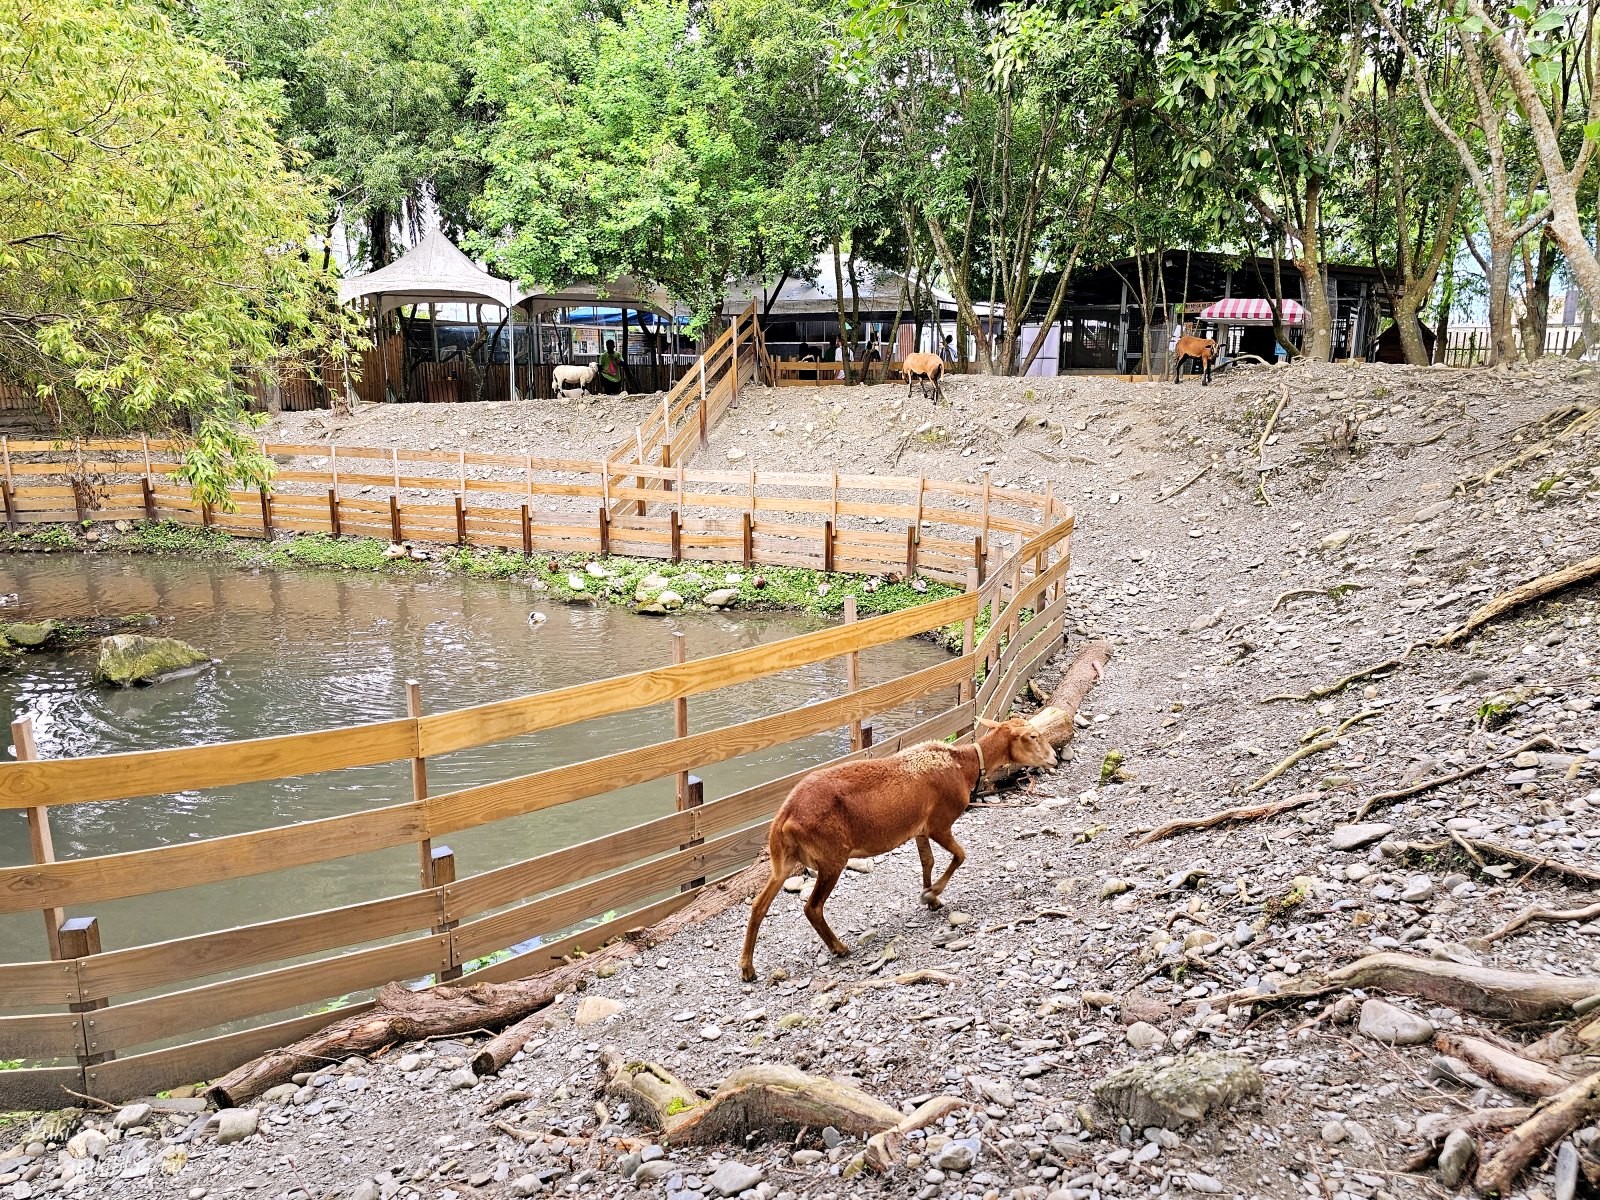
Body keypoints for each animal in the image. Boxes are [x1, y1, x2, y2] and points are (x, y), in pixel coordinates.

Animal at [739, 720, 1062, 979]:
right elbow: (960, 855)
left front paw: (932, 899)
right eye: (1032, 736)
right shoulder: (939, 823)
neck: (963, 765)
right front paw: (931, 894)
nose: (1055, 758)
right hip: (831, 857)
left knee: (758, 906)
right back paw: (839, 948)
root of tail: (785, 816)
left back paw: (747, 968)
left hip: (782, 861)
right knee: (812, 907)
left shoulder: (919, 829)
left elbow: (928, 861)